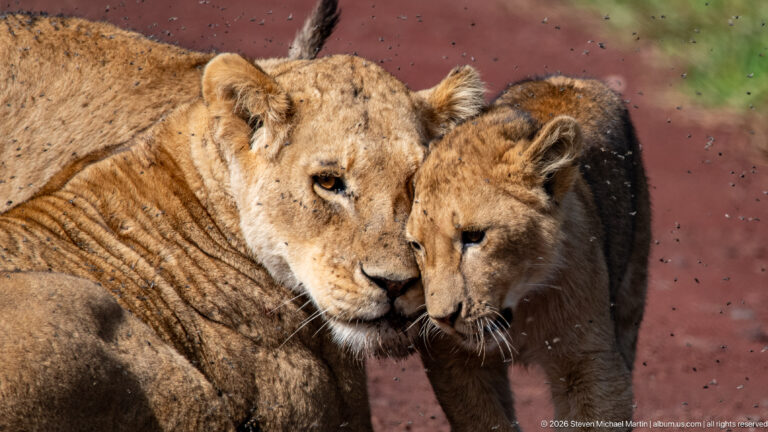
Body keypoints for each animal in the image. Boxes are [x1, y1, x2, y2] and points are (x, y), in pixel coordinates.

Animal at [406, 76, 651, 430]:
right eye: (416, 246)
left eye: (474, 237)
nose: (443, 319)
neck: (521, 306)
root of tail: (572, 79)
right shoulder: (454, 358)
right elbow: (484, 420)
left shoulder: (591, 362)